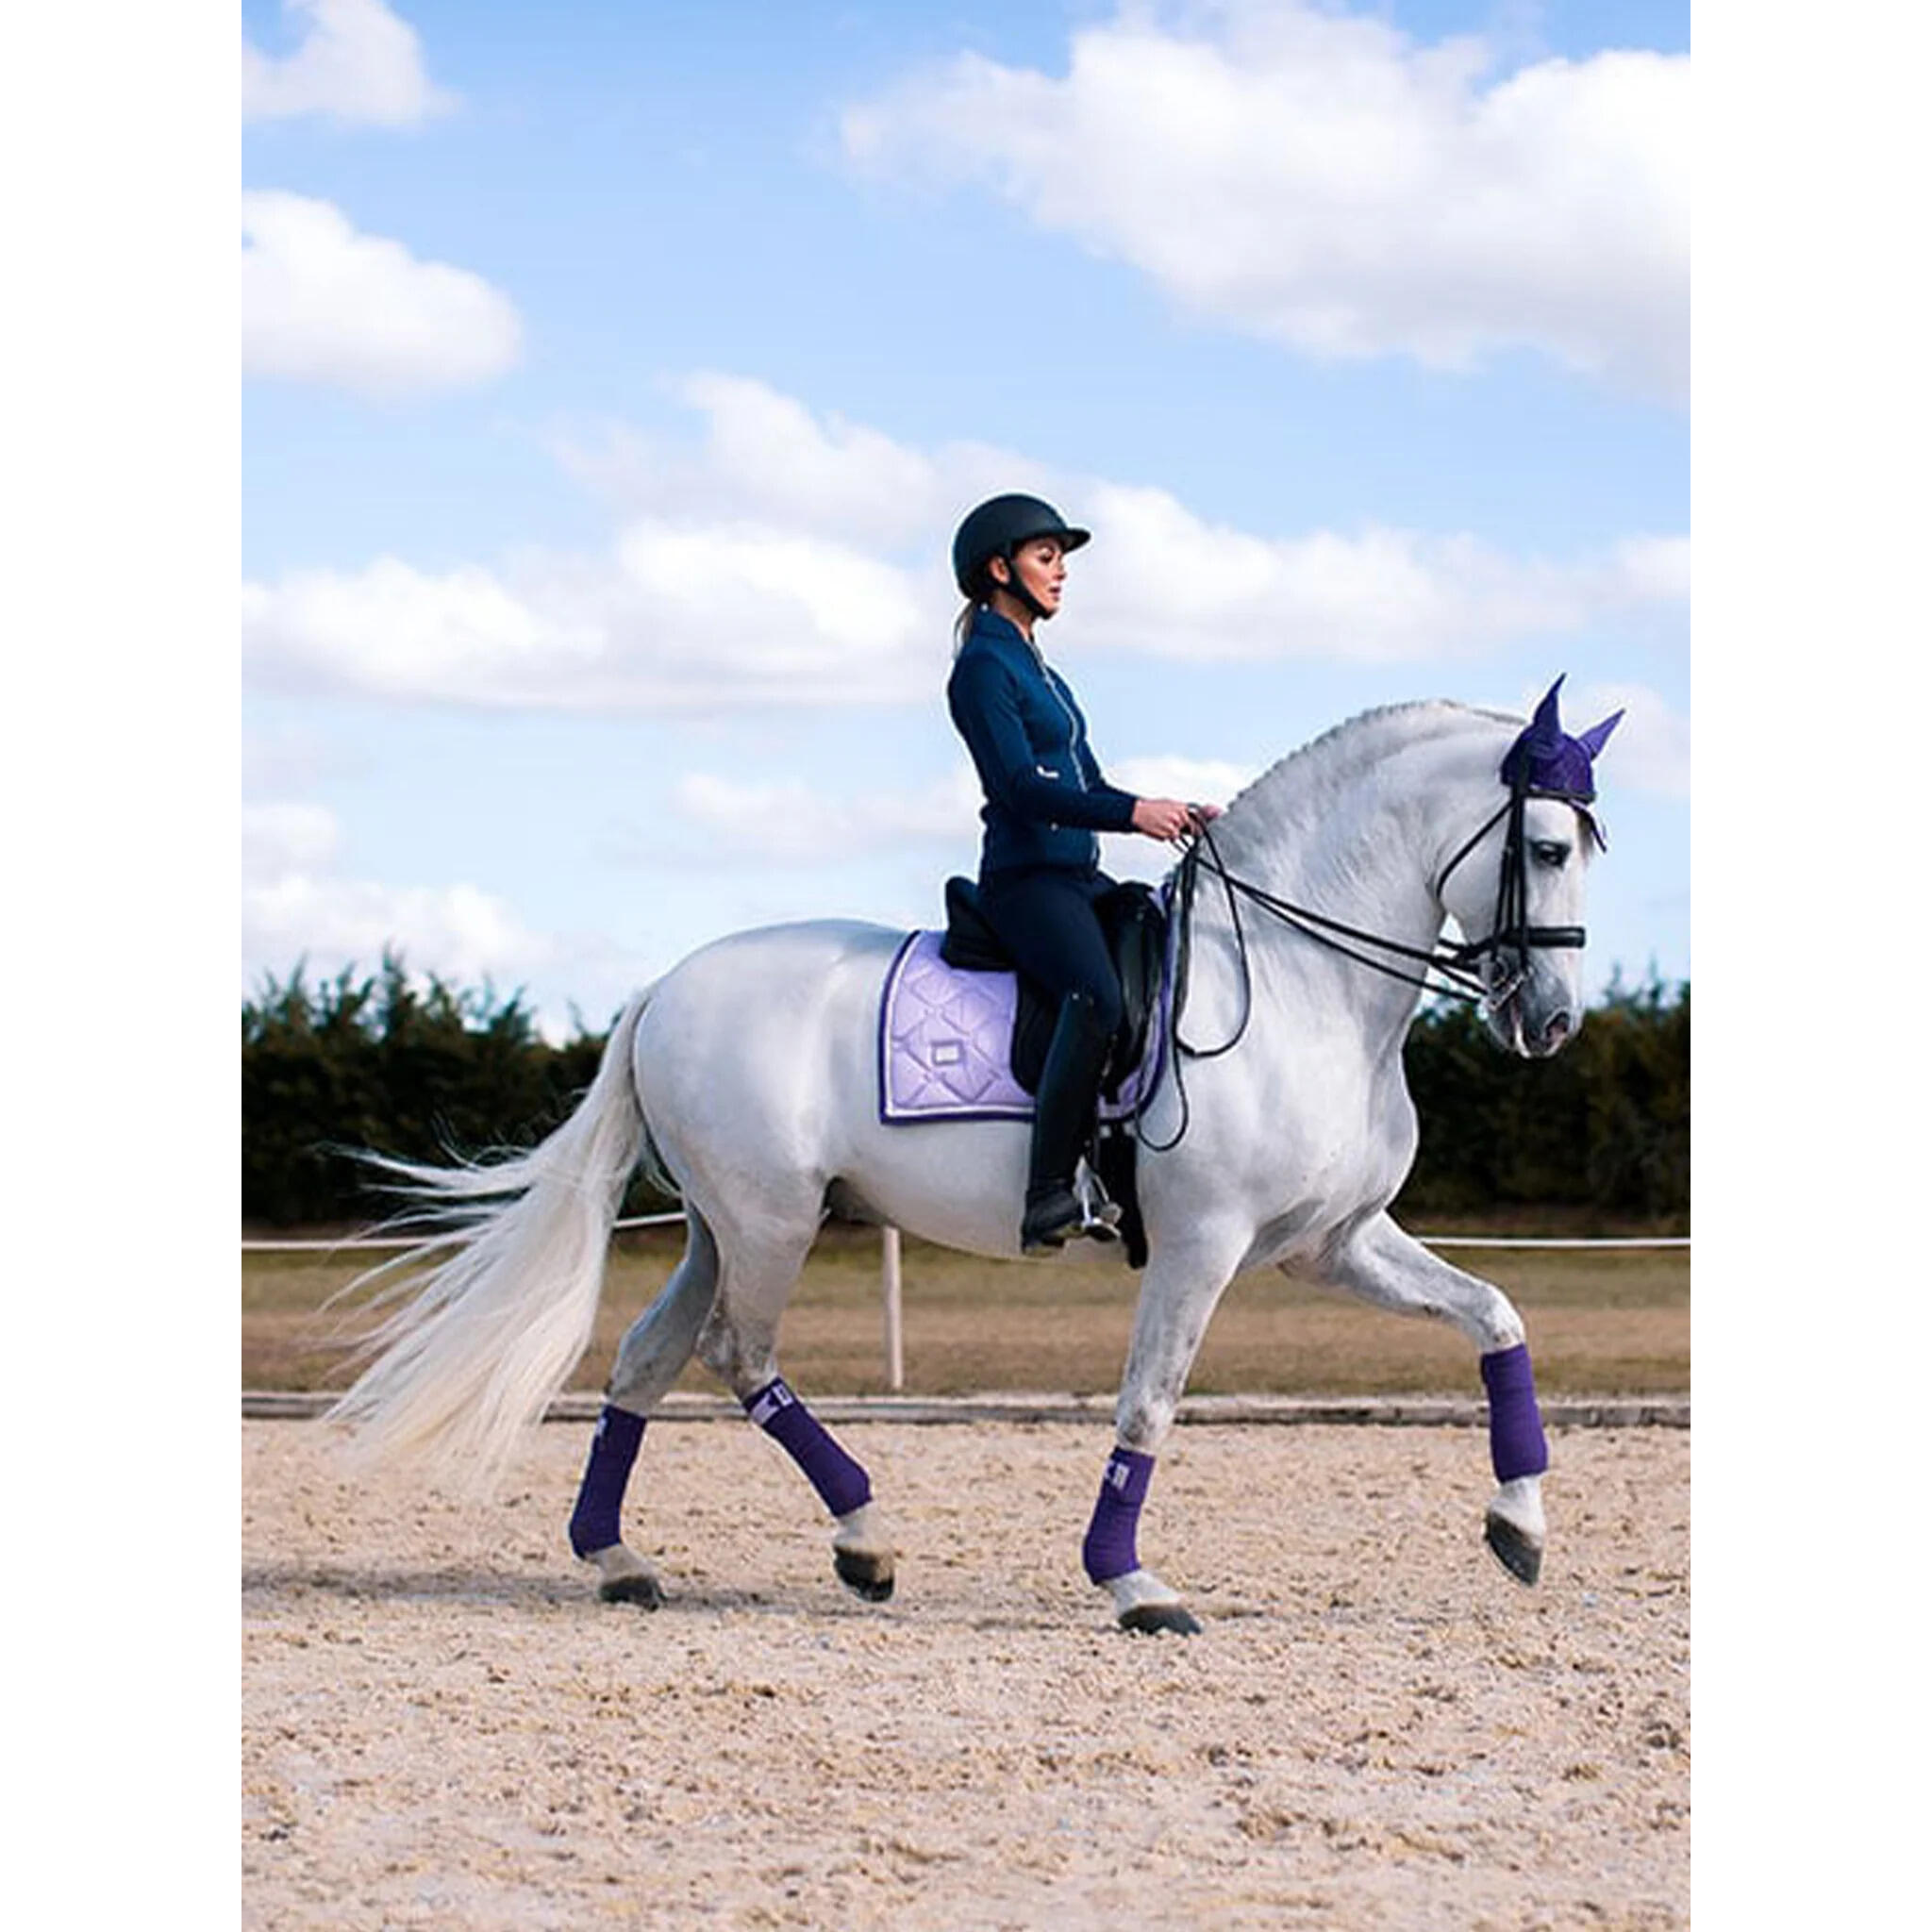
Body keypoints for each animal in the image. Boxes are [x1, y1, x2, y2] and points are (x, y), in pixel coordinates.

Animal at [327, 680, 1620, 1635]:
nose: (1553, 1020)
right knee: (736, 1352)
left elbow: (1495, 1316)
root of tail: (663, 986)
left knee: (650, 1355)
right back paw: (863, 1537)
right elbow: (1149, 1400)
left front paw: (1519, 1524)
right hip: (770, 1220)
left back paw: (619, 1558)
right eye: (1544, 844)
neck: (1299, 979)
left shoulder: (1330, 1243)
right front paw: (1131, 1582)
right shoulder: (1199, 1245)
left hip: (717, 1224)